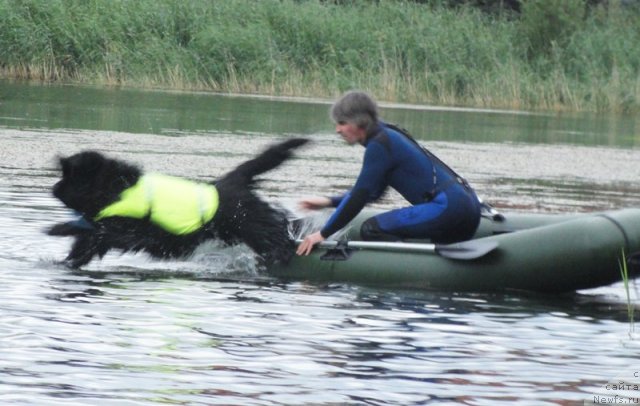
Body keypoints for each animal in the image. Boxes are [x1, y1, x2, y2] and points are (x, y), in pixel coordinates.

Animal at [47, 138, 308, 268]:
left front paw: (57, 228)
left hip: (253, 224)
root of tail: (234, 179)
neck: (117, 189)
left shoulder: (129, 233)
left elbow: (95, 232)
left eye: (69, 177)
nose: (54, 189)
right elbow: (85, 242)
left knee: (277, 235)